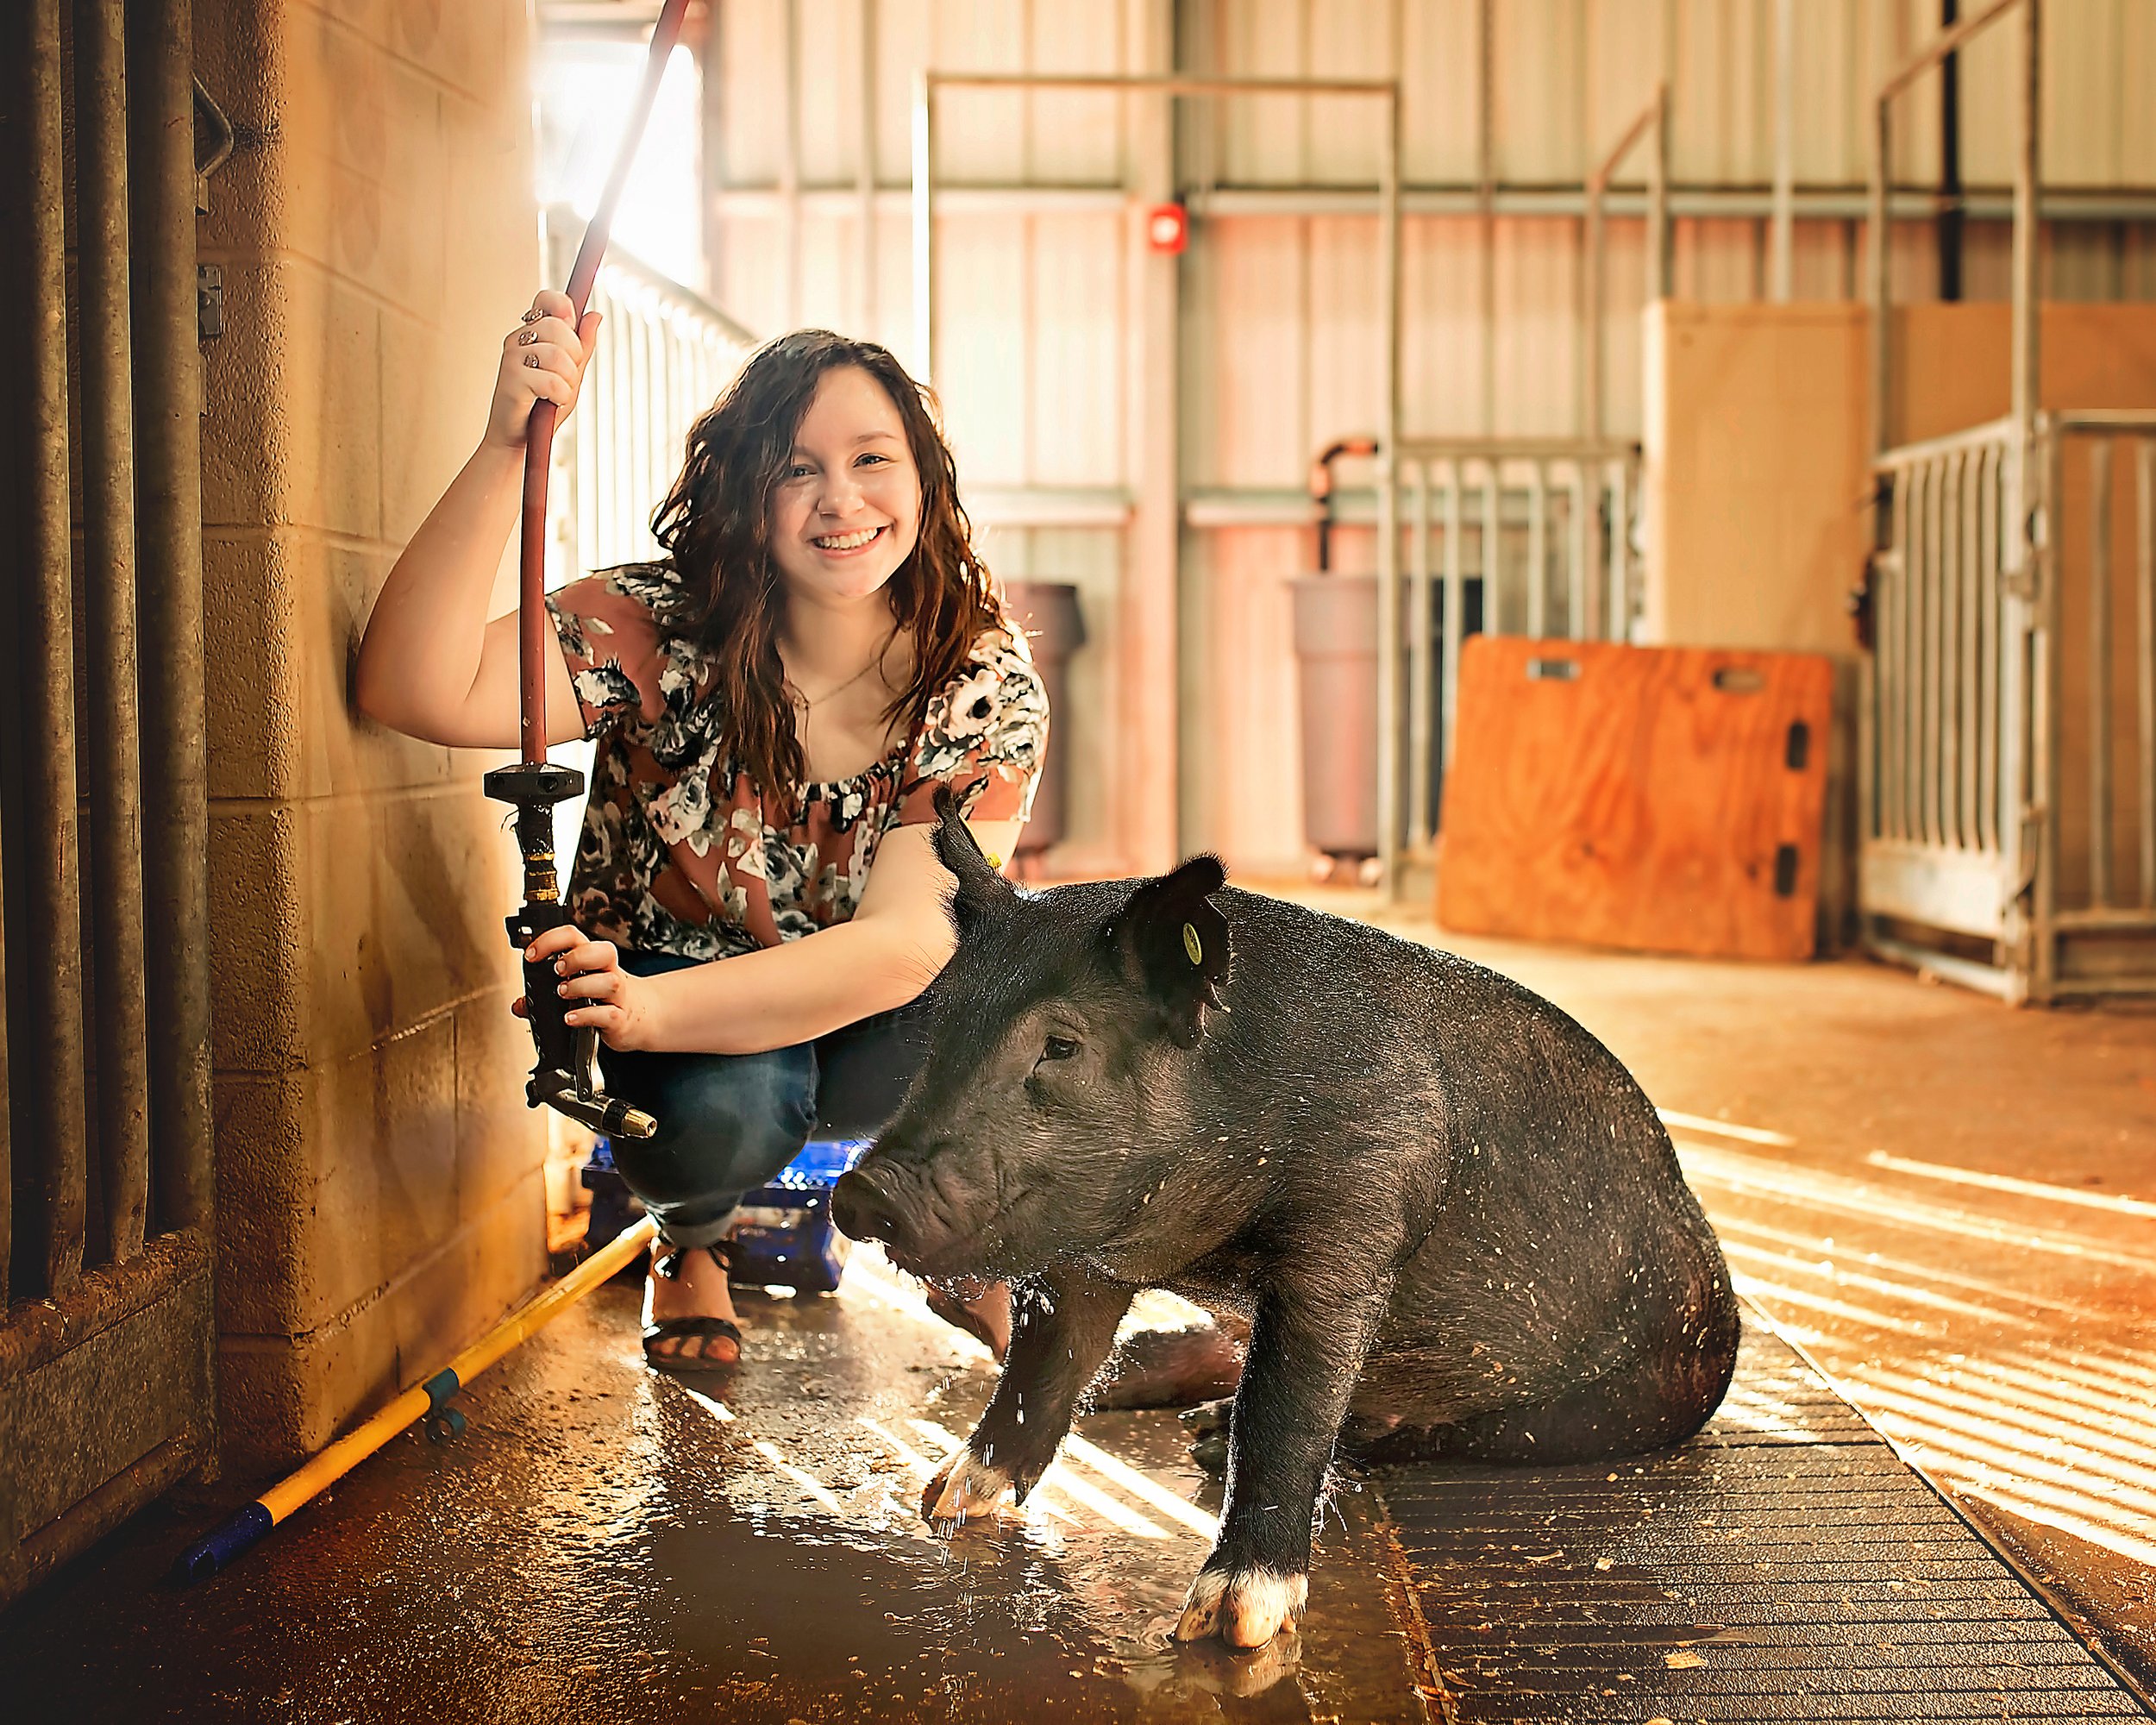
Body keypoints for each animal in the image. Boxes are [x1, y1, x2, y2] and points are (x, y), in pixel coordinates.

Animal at [832, 794, 1742, 1647]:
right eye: (940, 1025)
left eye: (1060, 1046)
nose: (862, 1194)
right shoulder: (1082, 1259)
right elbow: (1042, 1372)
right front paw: (943, 1503)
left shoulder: (1355, 1222)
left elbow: (1287, 1407)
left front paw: (1228, 1626)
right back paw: (1173, 1413)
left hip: (1604, 1410)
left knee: (1393, 1429)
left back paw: (1209, 1439)